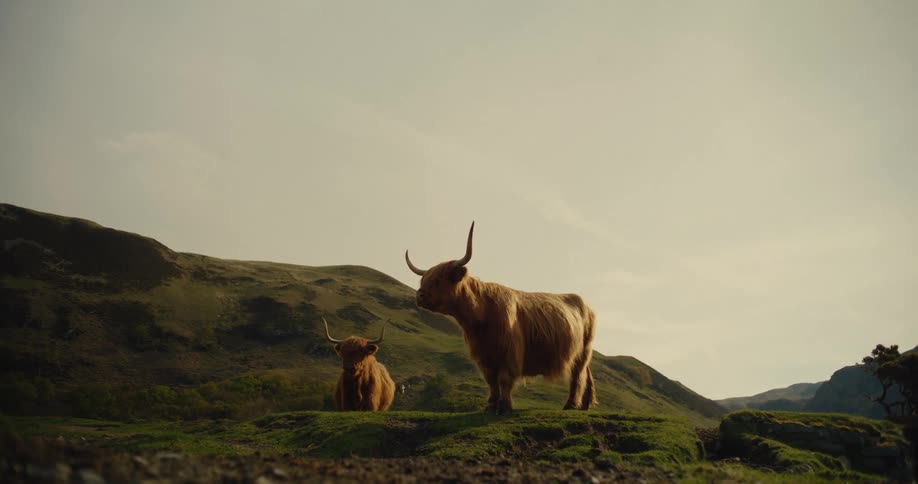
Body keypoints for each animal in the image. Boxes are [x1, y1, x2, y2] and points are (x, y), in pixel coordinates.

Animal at [405, 222, 598, 415]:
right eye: (423, 280)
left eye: (439, 279)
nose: (419, 295)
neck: (480, 319)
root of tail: (584, 303)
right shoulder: (484, 357)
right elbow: (491, 382)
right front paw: (491, 405)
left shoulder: (509, 354)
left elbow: (504, 380)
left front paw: (505, 406)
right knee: (586, 375)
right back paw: (585, 405)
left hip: (582, 351)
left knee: (577, 376)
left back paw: (571, 405)